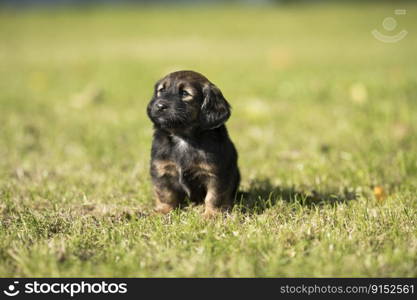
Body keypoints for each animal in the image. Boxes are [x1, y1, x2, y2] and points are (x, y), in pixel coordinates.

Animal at [146, 70, 239, 217]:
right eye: (161, 90)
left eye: (184, 93)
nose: (159, 106)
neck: (183, 137)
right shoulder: (161, 170)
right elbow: (165, 194)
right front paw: (163, 211)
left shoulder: (216, 174)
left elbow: (214, 196)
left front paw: (211, 215)